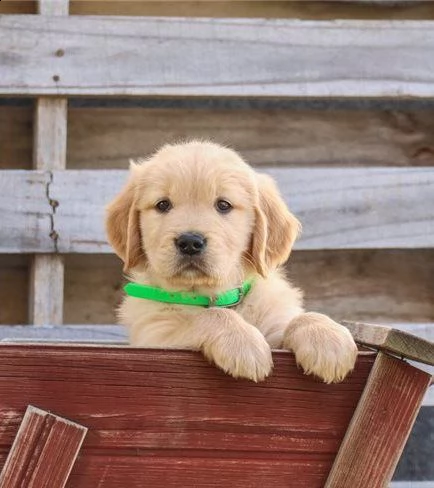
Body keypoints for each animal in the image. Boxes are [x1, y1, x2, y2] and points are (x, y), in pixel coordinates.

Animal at [105, 139, 356, 384]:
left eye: (223, 205)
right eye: (162, 205)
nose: (190, 242)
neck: (214, 295)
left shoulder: (273, 325)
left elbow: (299, 318)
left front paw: (327, 338)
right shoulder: (154, 335)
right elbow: (207, 317)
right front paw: (242, 342)